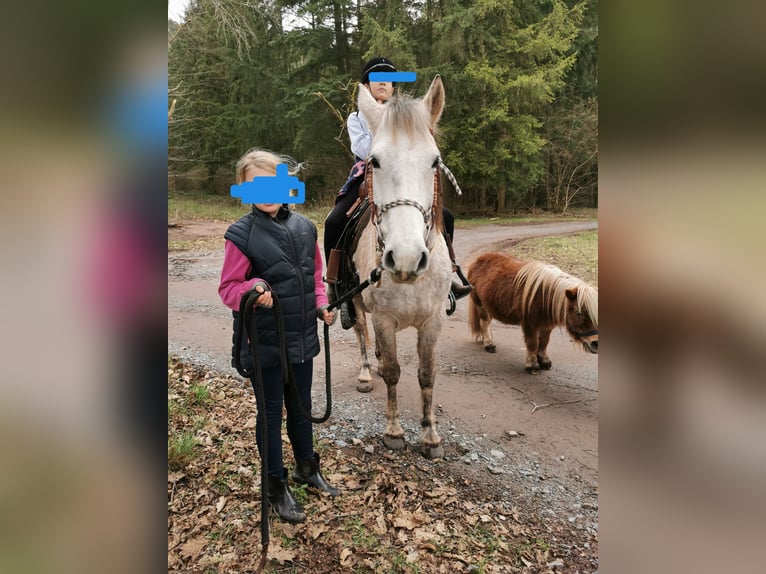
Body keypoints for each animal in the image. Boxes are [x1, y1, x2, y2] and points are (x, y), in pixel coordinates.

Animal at [346, 75, 452, 459]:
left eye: (434, 162)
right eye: (374, 161)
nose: (406, 258)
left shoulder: (433, 321)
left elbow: (427, 374)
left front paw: (430, 436)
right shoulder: (384, 319)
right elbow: (393, 371)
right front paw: (394, 431)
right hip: (355, 302)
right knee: (361, 334)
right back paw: (366, 372)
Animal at [467, 252, 598, 373]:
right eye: (579, 313)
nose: (595, 343)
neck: (545, 296)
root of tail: (478, 260)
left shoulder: (547, 325)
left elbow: (544, 342)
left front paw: (544, 360)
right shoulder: (529, 324)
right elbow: (533, 343)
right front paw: (532, 364)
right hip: (480, 305)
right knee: (485, 323)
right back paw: (489, 344)